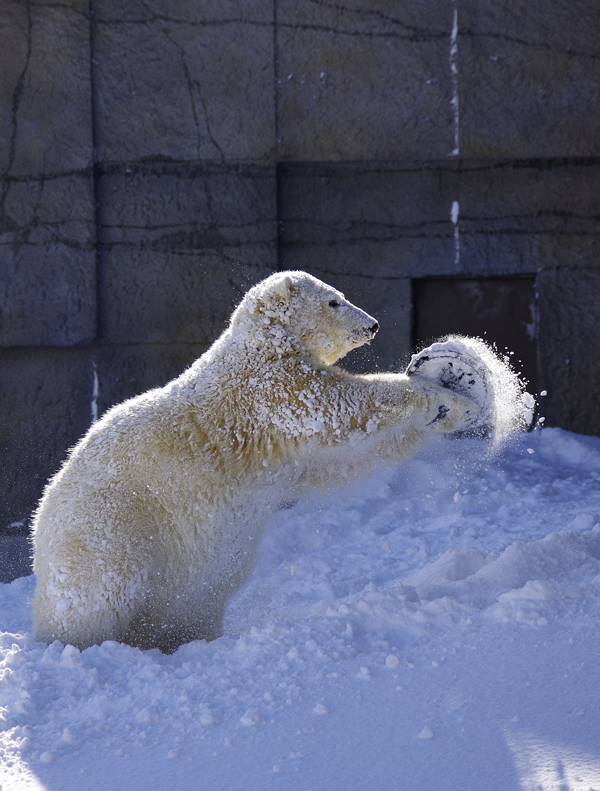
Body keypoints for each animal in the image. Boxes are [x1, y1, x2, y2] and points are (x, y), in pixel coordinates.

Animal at [32, 270, 490, 652]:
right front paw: (450, 399)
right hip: (109, 526)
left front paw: (454, 411)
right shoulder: (267, 392)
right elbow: (341, 406)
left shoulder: (288, 457)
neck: (261, 344)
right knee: (102, 591)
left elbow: (344, 460)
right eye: (334, 301)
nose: (373, 324)